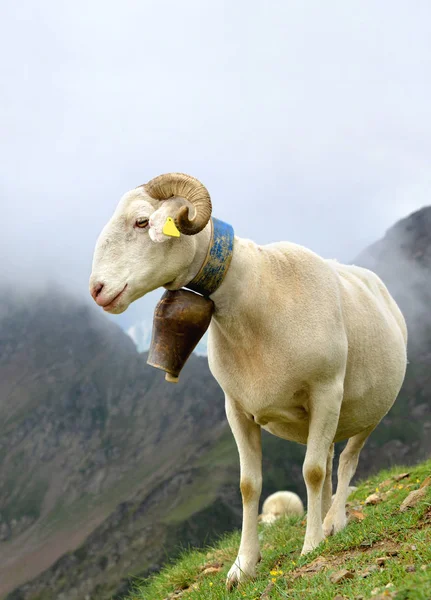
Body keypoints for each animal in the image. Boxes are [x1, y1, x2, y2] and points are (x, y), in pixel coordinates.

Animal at [88, 171, 408, 588]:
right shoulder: (236, 407)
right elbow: (248, 485)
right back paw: (321, 518)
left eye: (142, 222)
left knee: (345, 463)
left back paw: (332, 522)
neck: (256, 297)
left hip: (367, 413)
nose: (96, 290)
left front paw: (310, 546)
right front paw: (243, 566)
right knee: (328, 460)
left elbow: (312, 471)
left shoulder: (325, 390)